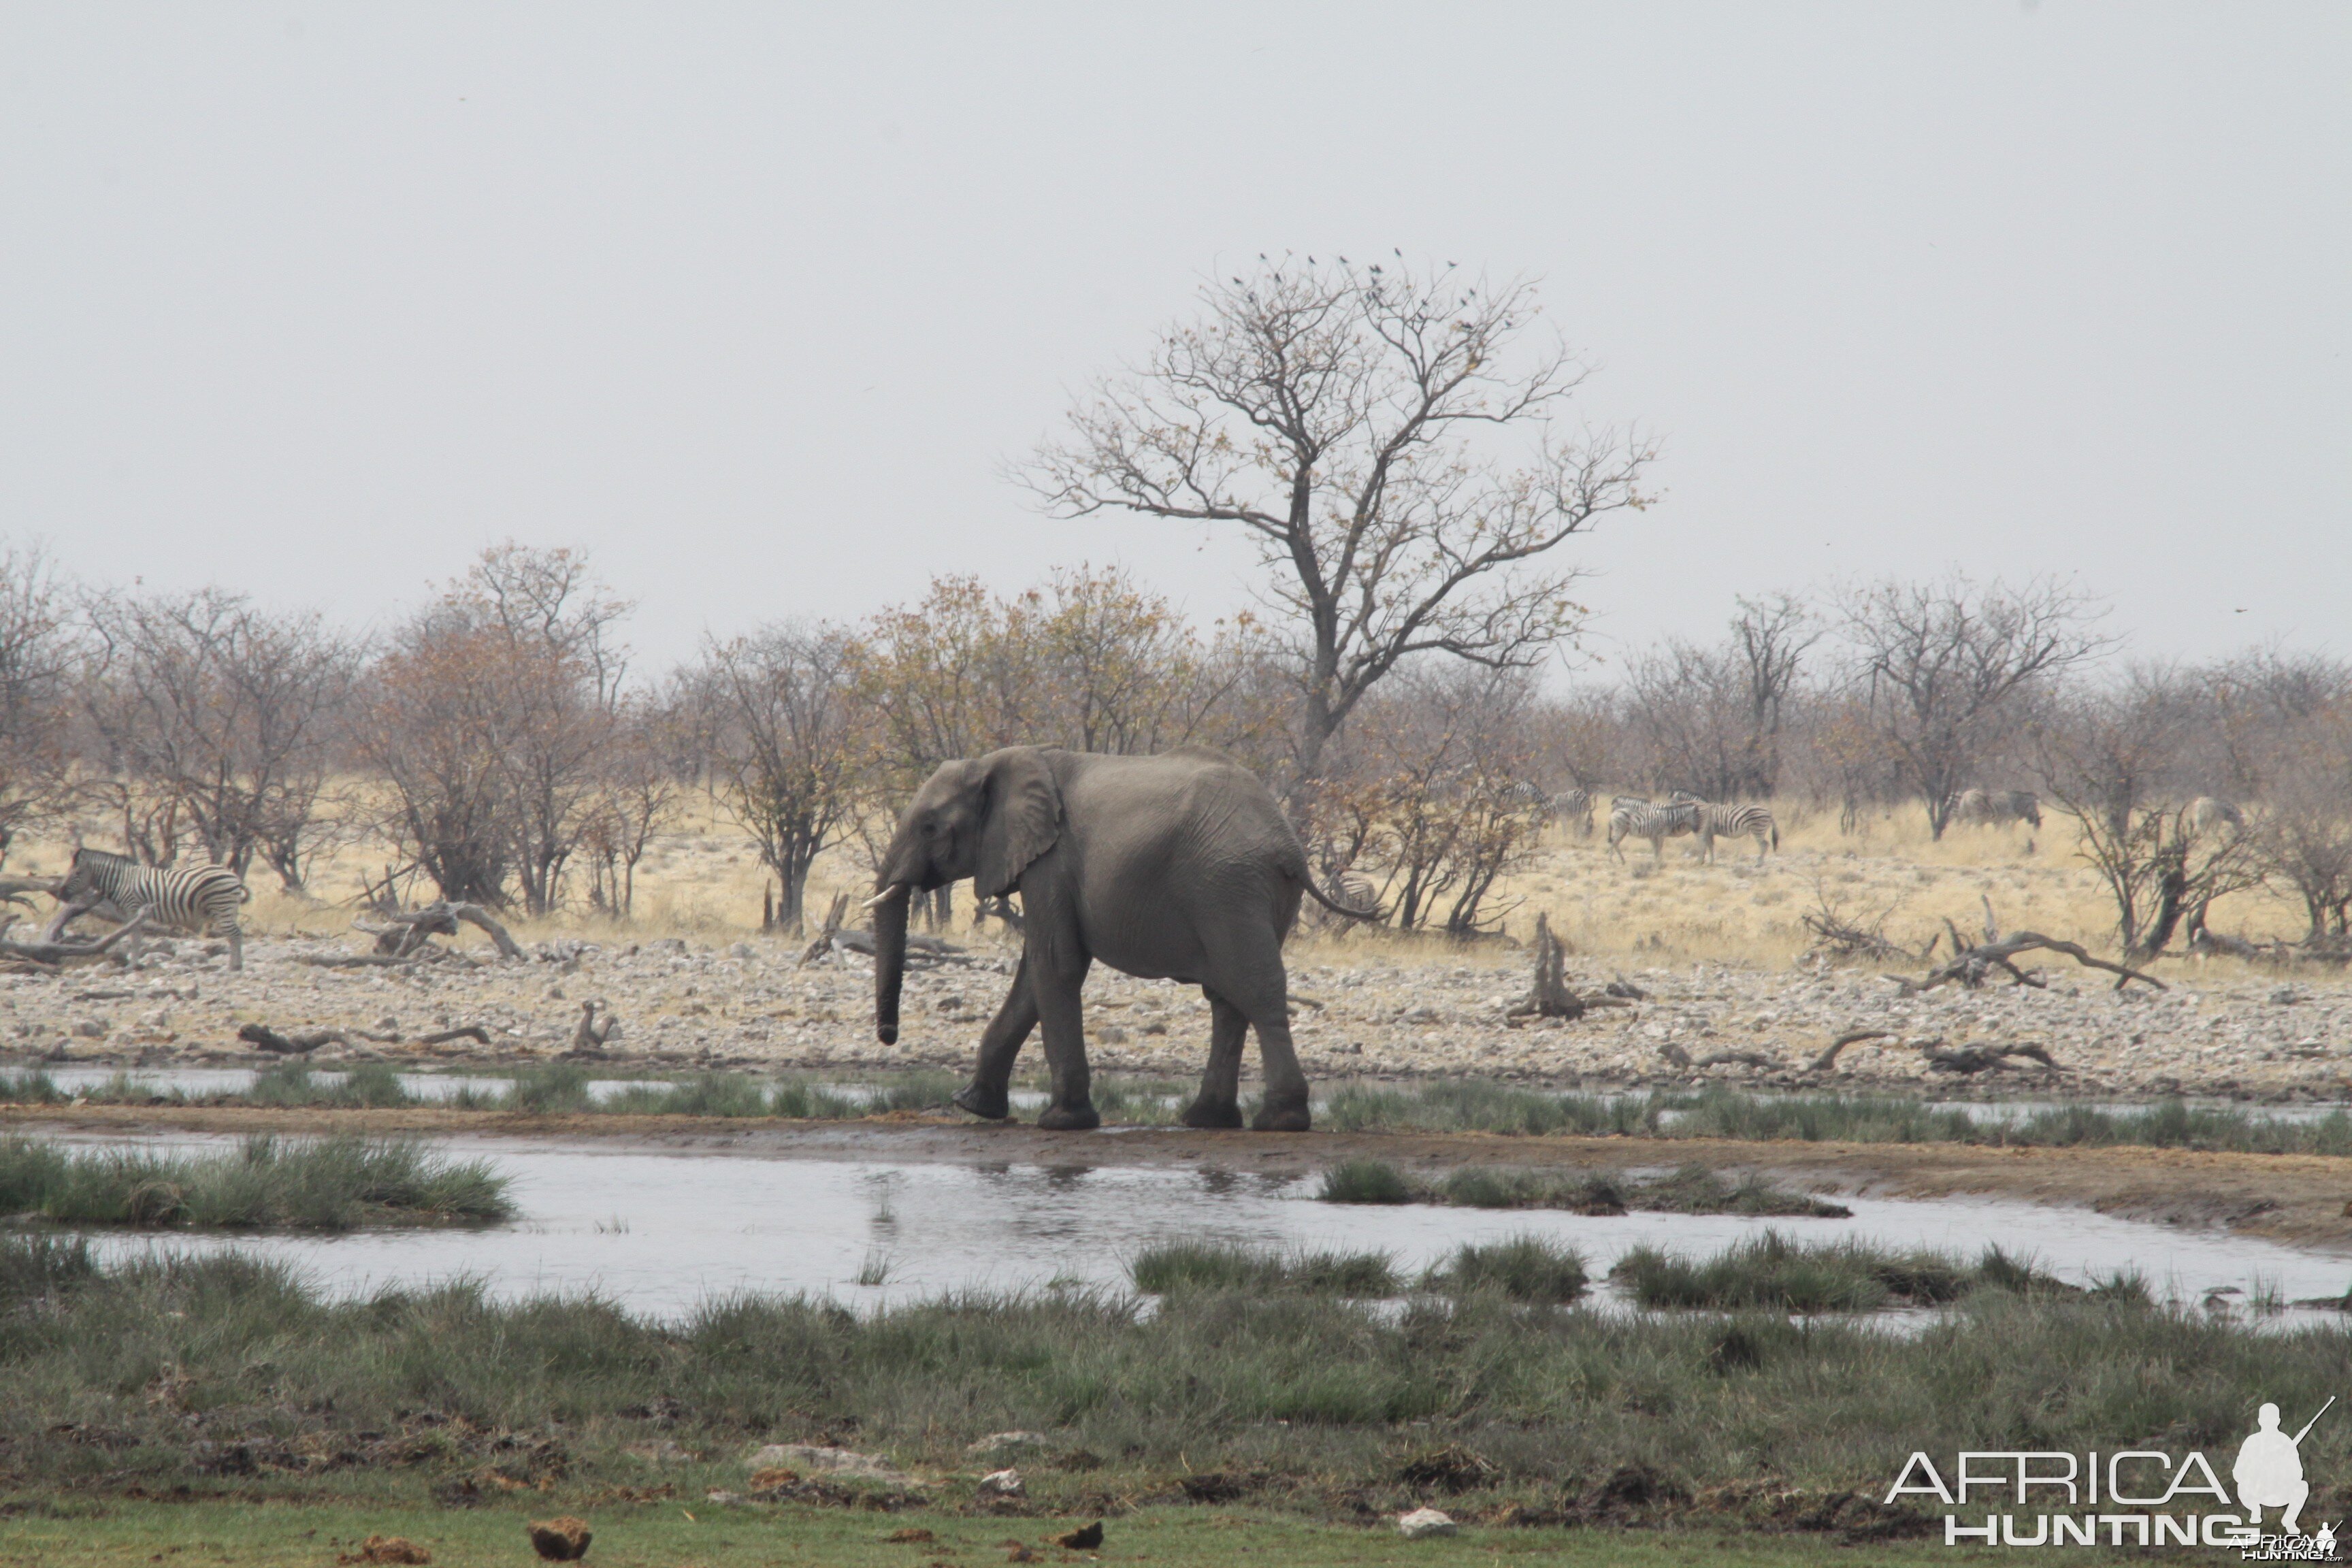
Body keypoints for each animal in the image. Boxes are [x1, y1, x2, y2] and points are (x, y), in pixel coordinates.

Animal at [59, 846, 248, 968]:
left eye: (77, 873)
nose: (61, 894)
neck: (121, 881)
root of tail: (233, 876)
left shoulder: (133, 909)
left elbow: (135, 938)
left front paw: (132, 966)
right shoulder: (133, 913)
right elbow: (136, 937)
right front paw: (135, 963)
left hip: (221, 906)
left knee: (234, 934)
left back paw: (234, 967)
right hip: (229, 909)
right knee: (235, 934)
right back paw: (236, 964)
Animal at [870, 747, 1373, 1128]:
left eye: (930, 827)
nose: (889, 1036)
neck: (999, 760)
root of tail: (1290, 847)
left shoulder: (1050, 861)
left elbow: (1056, 965)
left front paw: (1061, 1121)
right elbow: (1035, 974)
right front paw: (974, 1106)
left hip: (1228, 886)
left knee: (1254, 986)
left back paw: (1280, 1121)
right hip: (1258, 893)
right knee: (1229, 998)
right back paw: (1207, 1119)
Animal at [1608, 804, 1703, 865]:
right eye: (1696, 817)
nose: (1698, 829)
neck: (1668, 818)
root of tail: (1614, 812)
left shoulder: (1653, 836)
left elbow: (1656, 848)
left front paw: (1656, 861)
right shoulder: (1660, 835)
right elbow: (1659, 848)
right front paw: (1660, 862)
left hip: (1623, 831)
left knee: (1616, 844)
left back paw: (1622, 861)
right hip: (1620, 830)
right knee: (1613, 843)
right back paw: (1611, 861)